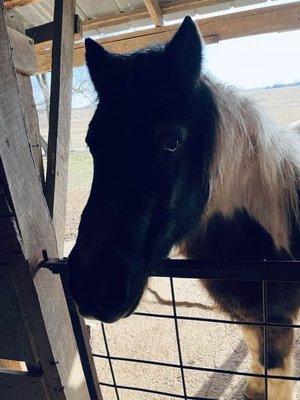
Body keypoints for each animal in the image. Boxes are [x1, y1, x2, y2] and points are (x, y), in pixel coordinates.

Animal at [68, 17, 300, 398]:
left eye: (172, 143)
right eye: (92, 142)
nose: (92, 286)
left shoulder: (277, 319)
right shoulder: (249, 313)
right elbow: (257, 350)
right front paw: (254, 386)